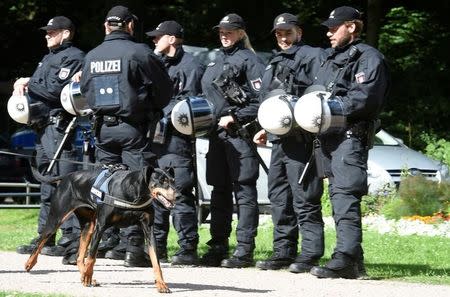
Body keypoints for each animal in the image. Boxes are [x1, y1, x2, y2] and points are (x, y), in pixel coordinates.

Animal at [23, 165, 177, 292]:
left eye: (173, 180)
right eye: (162, 181)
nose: (178, 194)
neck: (134, 193)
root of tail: (67, 176)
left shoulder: (149, 230)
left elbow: (156, 261)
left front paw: (161, 284)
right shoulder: (100, 226)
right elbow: (92, 256)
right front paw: (87, 277)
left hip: (88, 226)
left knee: (79, 257)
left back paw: (83, 274)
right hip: (57, 218)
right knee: (41, 240)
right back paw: (29, 263)